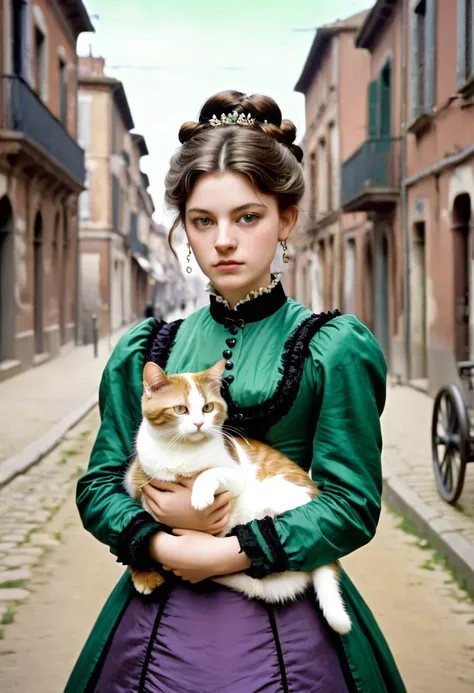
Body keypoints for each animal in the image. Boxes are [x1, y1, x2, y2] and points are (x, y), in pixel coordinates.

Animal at [124, 360, 350, 636]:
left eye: (208, 408)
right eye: (180, 409)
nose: (199, 424)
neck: (181, 450)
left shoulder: (234, 473)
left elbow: (209, 473)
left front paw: (199, 495)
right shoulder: (137, 481)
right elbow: (141, 528)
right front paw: (142, 573)